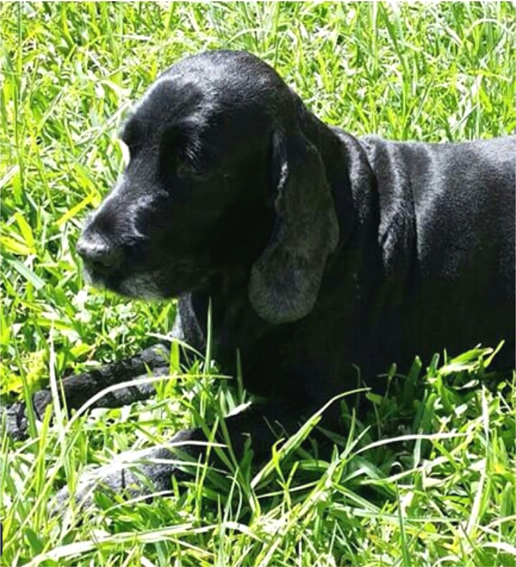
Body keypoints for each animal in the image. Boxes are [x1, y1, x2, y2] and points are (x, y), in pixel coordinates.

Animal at [10, 50, 516, 503]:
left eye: (192, 163)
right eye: (129, 148)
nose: (91, 253)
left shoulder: (320, 406)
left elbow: (201, 440)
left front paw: (103, 487)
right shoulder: (187, 351)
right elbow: (102, 378)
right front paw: (26, 410)